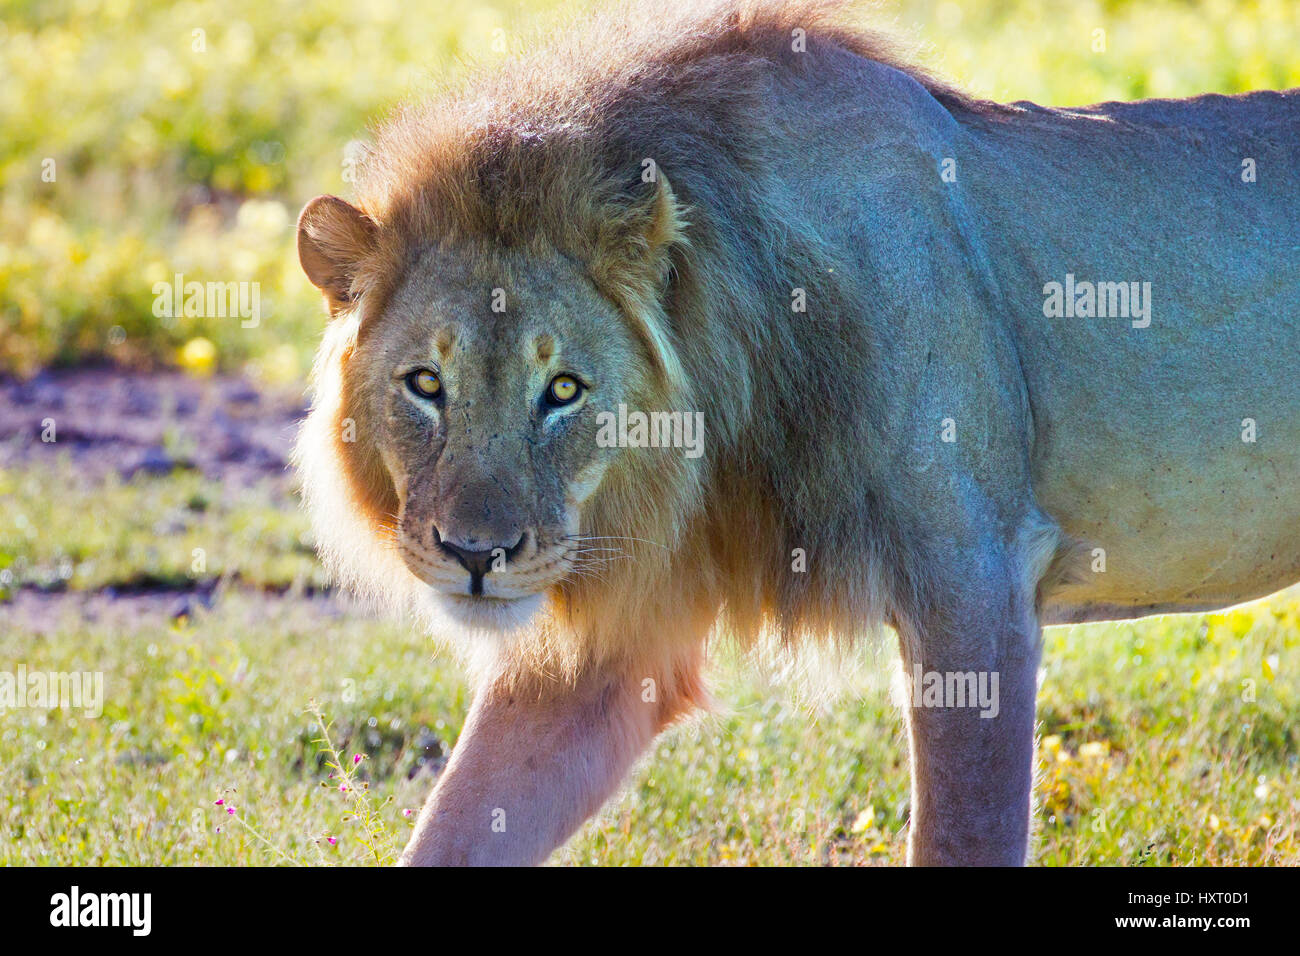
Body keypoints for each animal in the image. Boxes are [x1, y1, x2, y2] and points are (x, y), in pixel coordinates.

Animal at [295, 0, 1300, 868]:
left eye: (564, 390)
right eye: (427, 385)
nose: (477, 555)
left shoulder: (976, 581)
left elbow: (964, 832)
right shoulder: (621, 640)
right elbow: (459, 823)